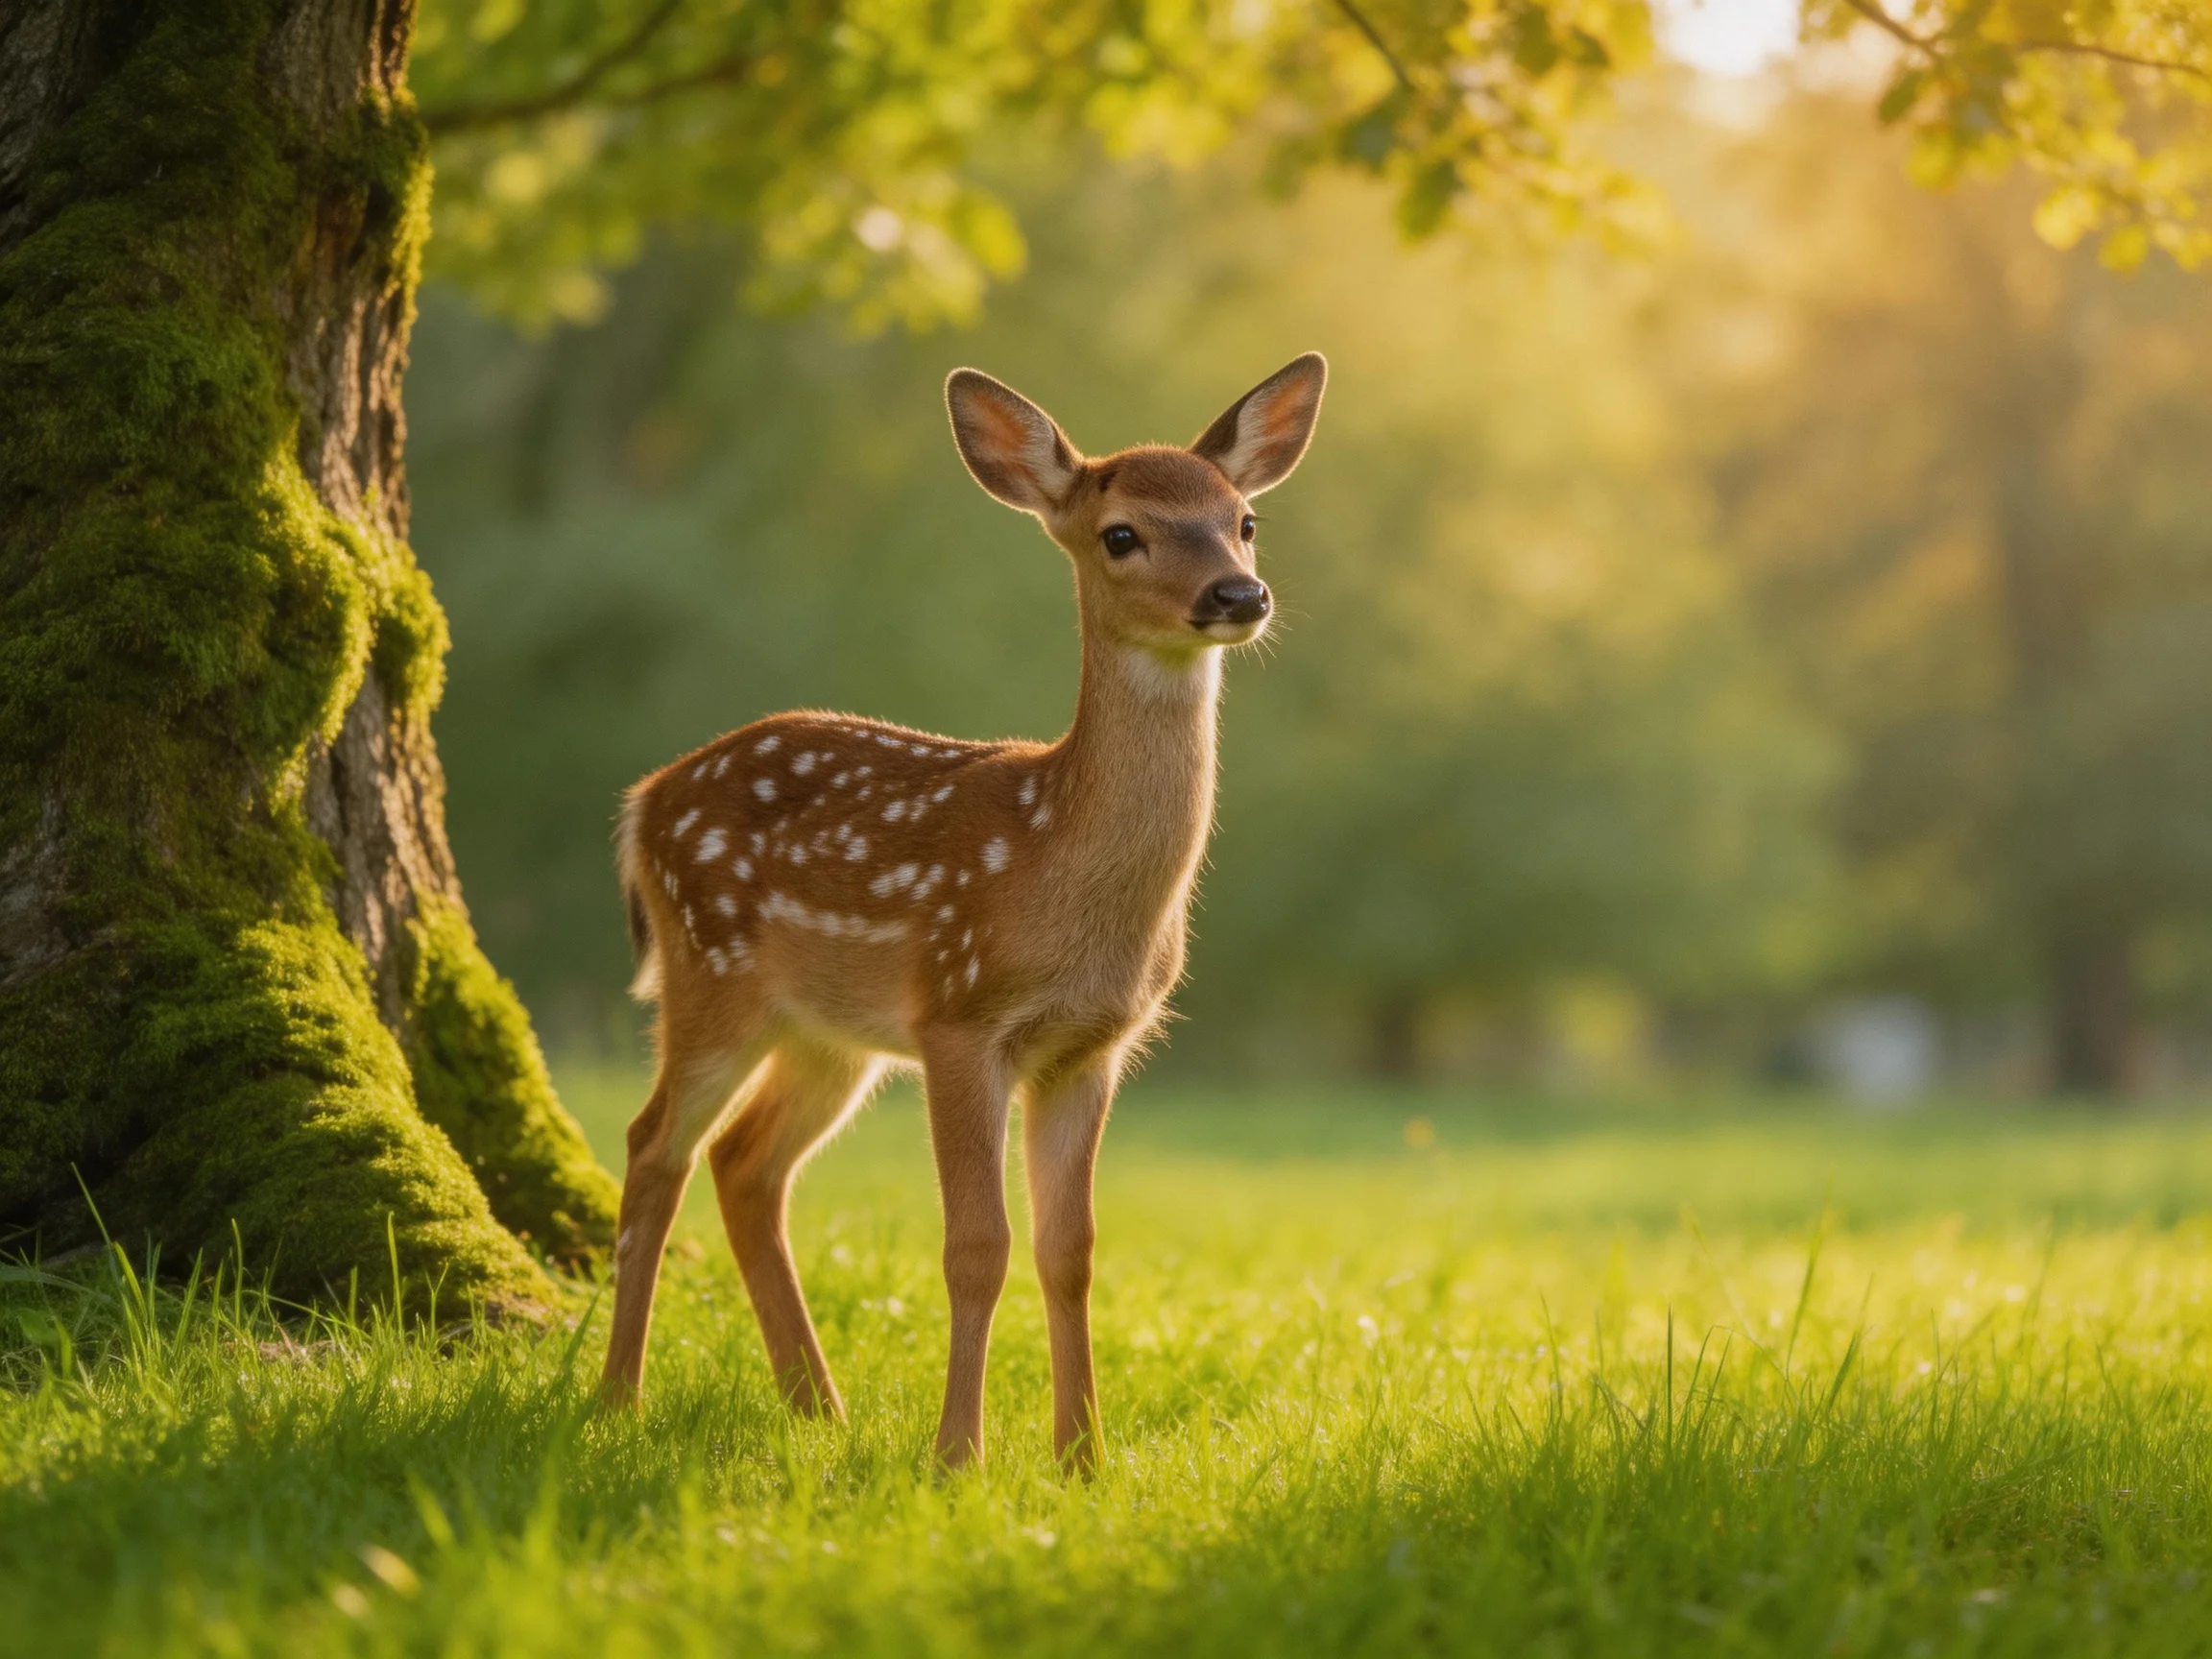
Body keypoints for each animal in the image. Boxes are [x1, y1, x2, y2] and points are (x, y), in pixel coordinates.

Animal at [599, 353, 1328, 1471]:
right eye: (1122, 533)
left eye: (1244, 520)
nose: (1238, 594)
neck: (1057, 870)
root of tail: (644, 802)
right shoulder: (957, 1016)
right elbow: (977, 1246)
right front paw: (957, 1457)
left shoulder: (1090, 1048)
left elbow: (1071, 1250)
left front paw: (1083, 1459)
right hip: (709, 971)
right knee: (653, 1147)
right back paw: (617, 1401)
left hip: (829, 1037)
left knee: (745, 1164)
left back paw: (821, 1408)